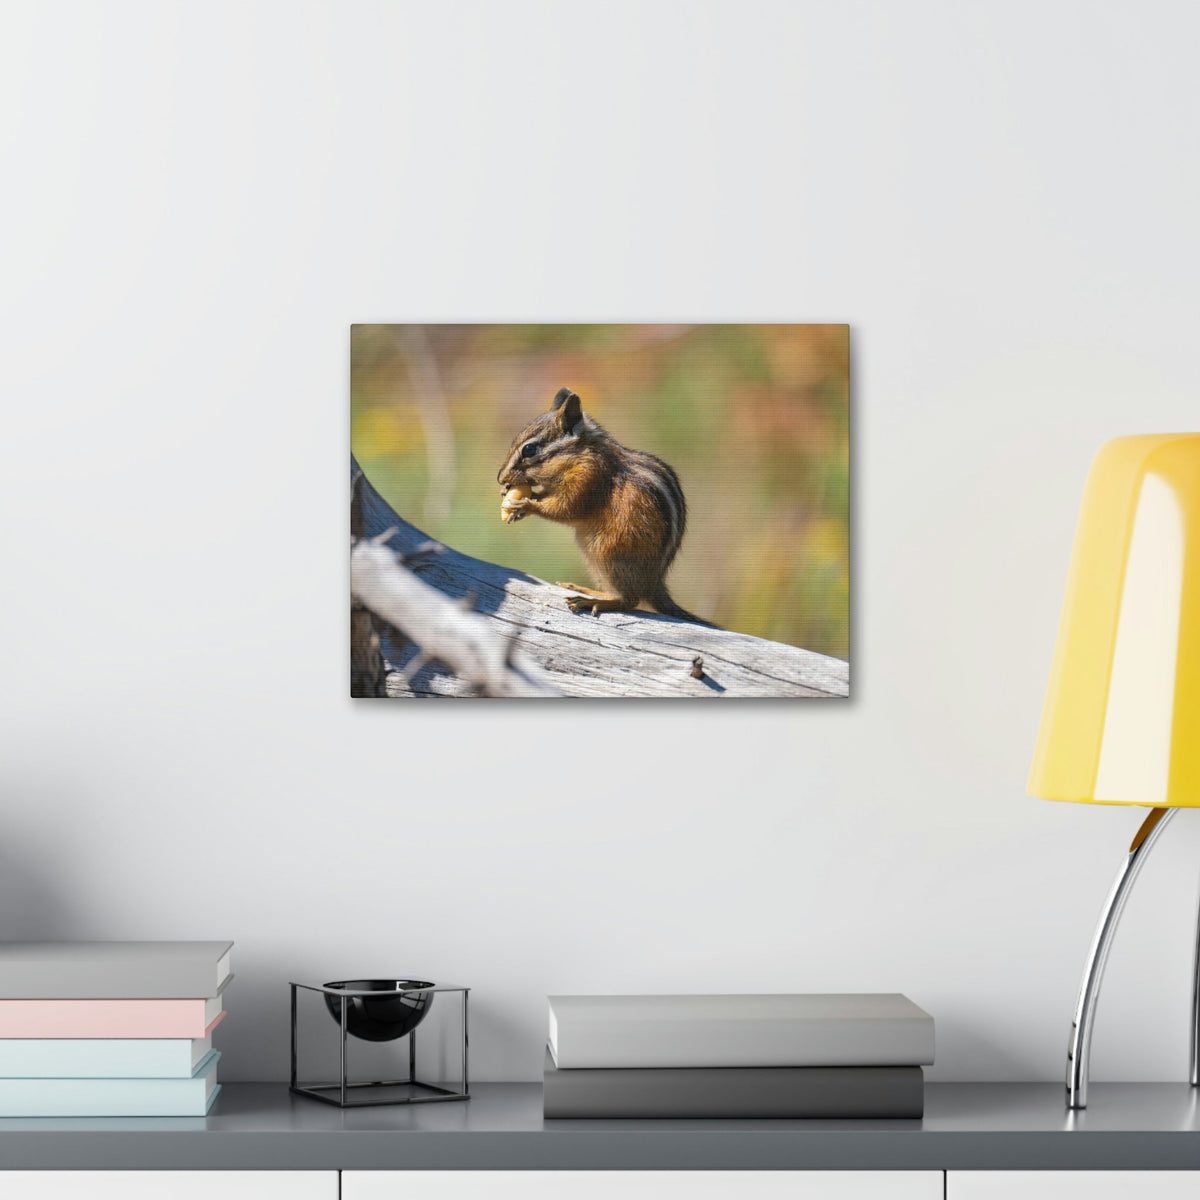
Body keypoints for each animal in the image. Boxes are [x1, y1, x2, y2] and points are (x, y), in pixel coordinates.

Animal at [496, 387, 714, 625]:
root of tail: (653, 583)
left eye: (529, 449)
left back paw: (591, 601)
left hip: (610, 554)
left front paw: (525, 505)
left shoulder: (589, 479)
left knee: (629, 601)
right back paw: (585, 590)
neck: (581, 455)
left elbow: (566, 508)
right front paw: (515, 499)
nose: (501, 478)